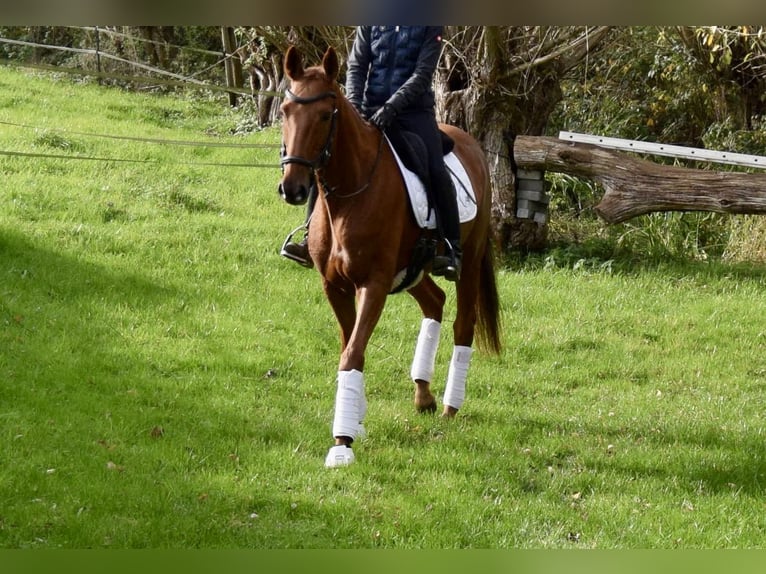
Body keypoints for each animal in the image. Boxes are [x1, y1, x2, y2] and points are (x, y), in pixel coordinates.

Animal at [277, 45, 501, 467]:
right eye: (284, 110)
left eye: (326, 114)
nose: (293, 189)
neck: (351, 193)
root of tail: (472, 144)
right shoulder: (335, 286)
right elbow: (350, 346)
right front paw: (356, 422)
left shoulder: (374, 285)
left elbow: (352, 353)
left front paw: (342, 443)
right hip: (412, 271)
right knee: (434, 302)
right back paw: (423, 394)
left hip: (467, 260)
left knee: (462, 323)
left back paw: (450, 407)